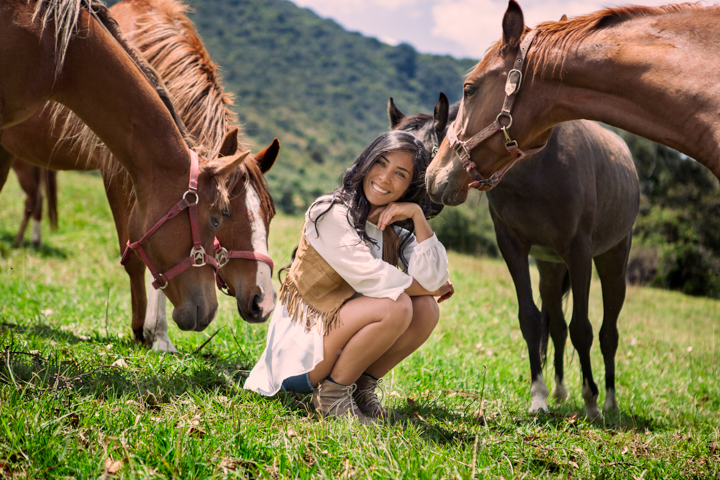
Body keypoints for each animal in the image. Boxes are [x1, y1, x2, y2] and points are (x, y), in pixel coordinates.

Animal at [0, 0, 279, 351]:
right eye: (223, 216)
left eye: (270, 217)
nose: (263, 301)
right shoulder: (118, 172)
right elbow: (136, 254)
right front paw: (148, 332)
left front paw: (156, 333)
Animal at [391, 94, 639, 417]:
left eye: (422, 157)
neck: (535, 169)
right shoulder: (512, 247)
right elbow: (531, 320)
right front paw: (539, 397)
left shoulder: (580, 254)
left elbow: (582, 329)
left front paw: (591, 400)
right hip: (550, 270)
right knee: (557, 327)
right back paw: (560, 391)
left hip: (612, 261)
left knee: (608, 333)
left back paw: (608, 401)